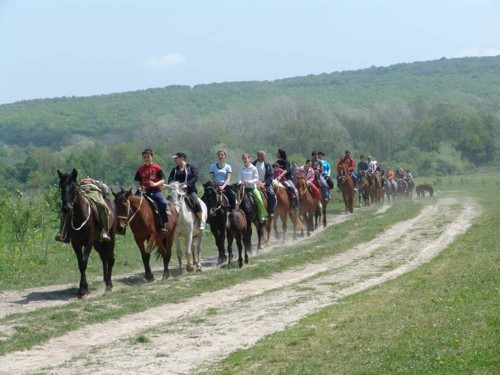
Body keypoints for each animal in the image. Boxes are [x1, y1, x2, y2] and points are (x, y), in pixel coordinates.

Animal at [56, 169, 116, 298]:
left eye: (73, 187)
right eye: (61, 186)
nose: (66, 209)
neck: (80, 216)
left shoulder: (89, 242)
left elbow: (83, 262)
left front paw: (83, 290)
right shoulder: (76, 243)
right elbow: (80, 264)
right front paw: (82, 288)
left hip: (110, 238)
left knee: (110, 258)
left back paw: (109, 285)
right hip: (97, 243)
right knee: (104, 257)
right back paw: (105, 280)